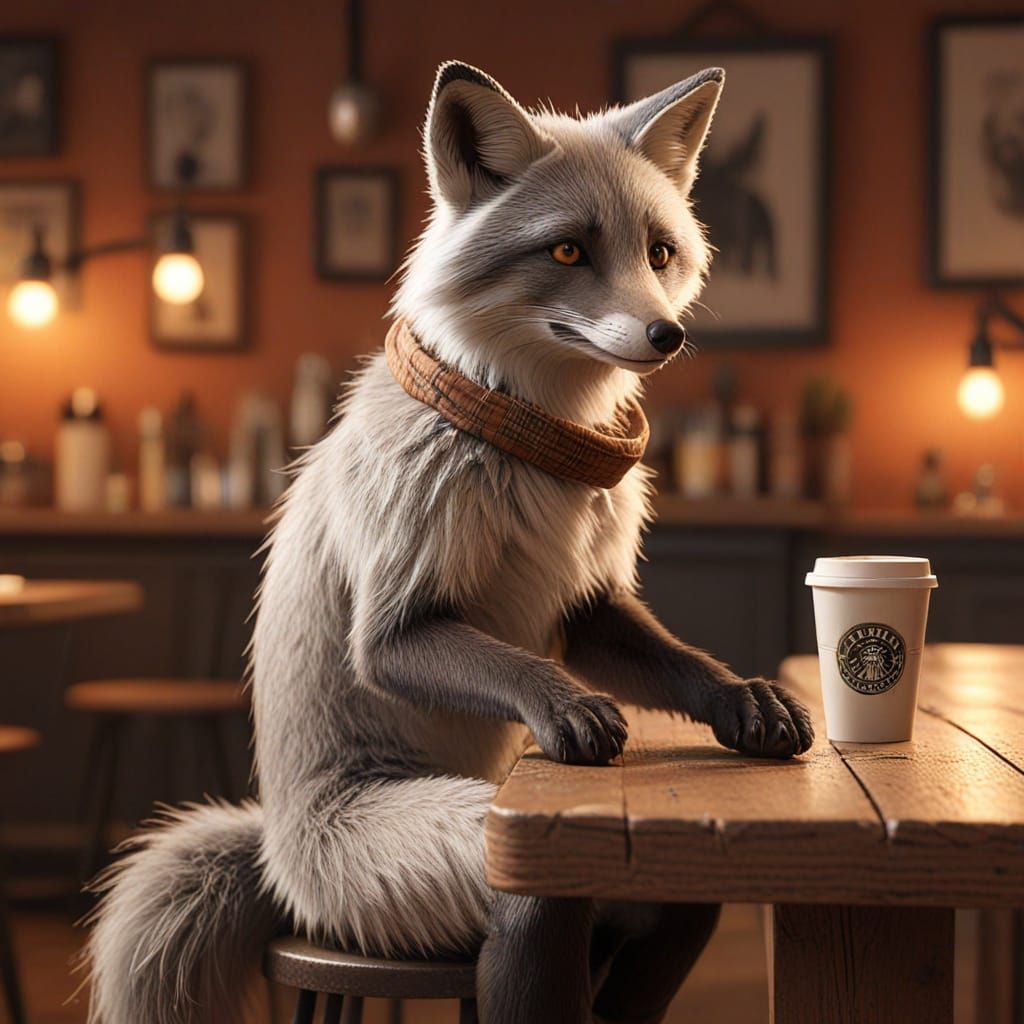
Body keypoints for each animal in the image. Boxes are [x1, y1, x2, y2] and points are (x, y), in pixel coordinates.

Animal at [86, 60, 814, 1024]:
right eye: (569, 252)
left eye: (659, 253)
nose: (669, 334)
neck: (528, 443)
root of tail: (282, 871)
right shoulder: (397, 616)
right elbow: (506, 666)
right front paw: (566, 707)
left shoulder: (588, 607)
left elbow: (685, 666)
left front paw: (744, 700)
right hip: (448, 869)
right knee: (540, 914)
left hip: (651, 888)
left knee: (664, 911)